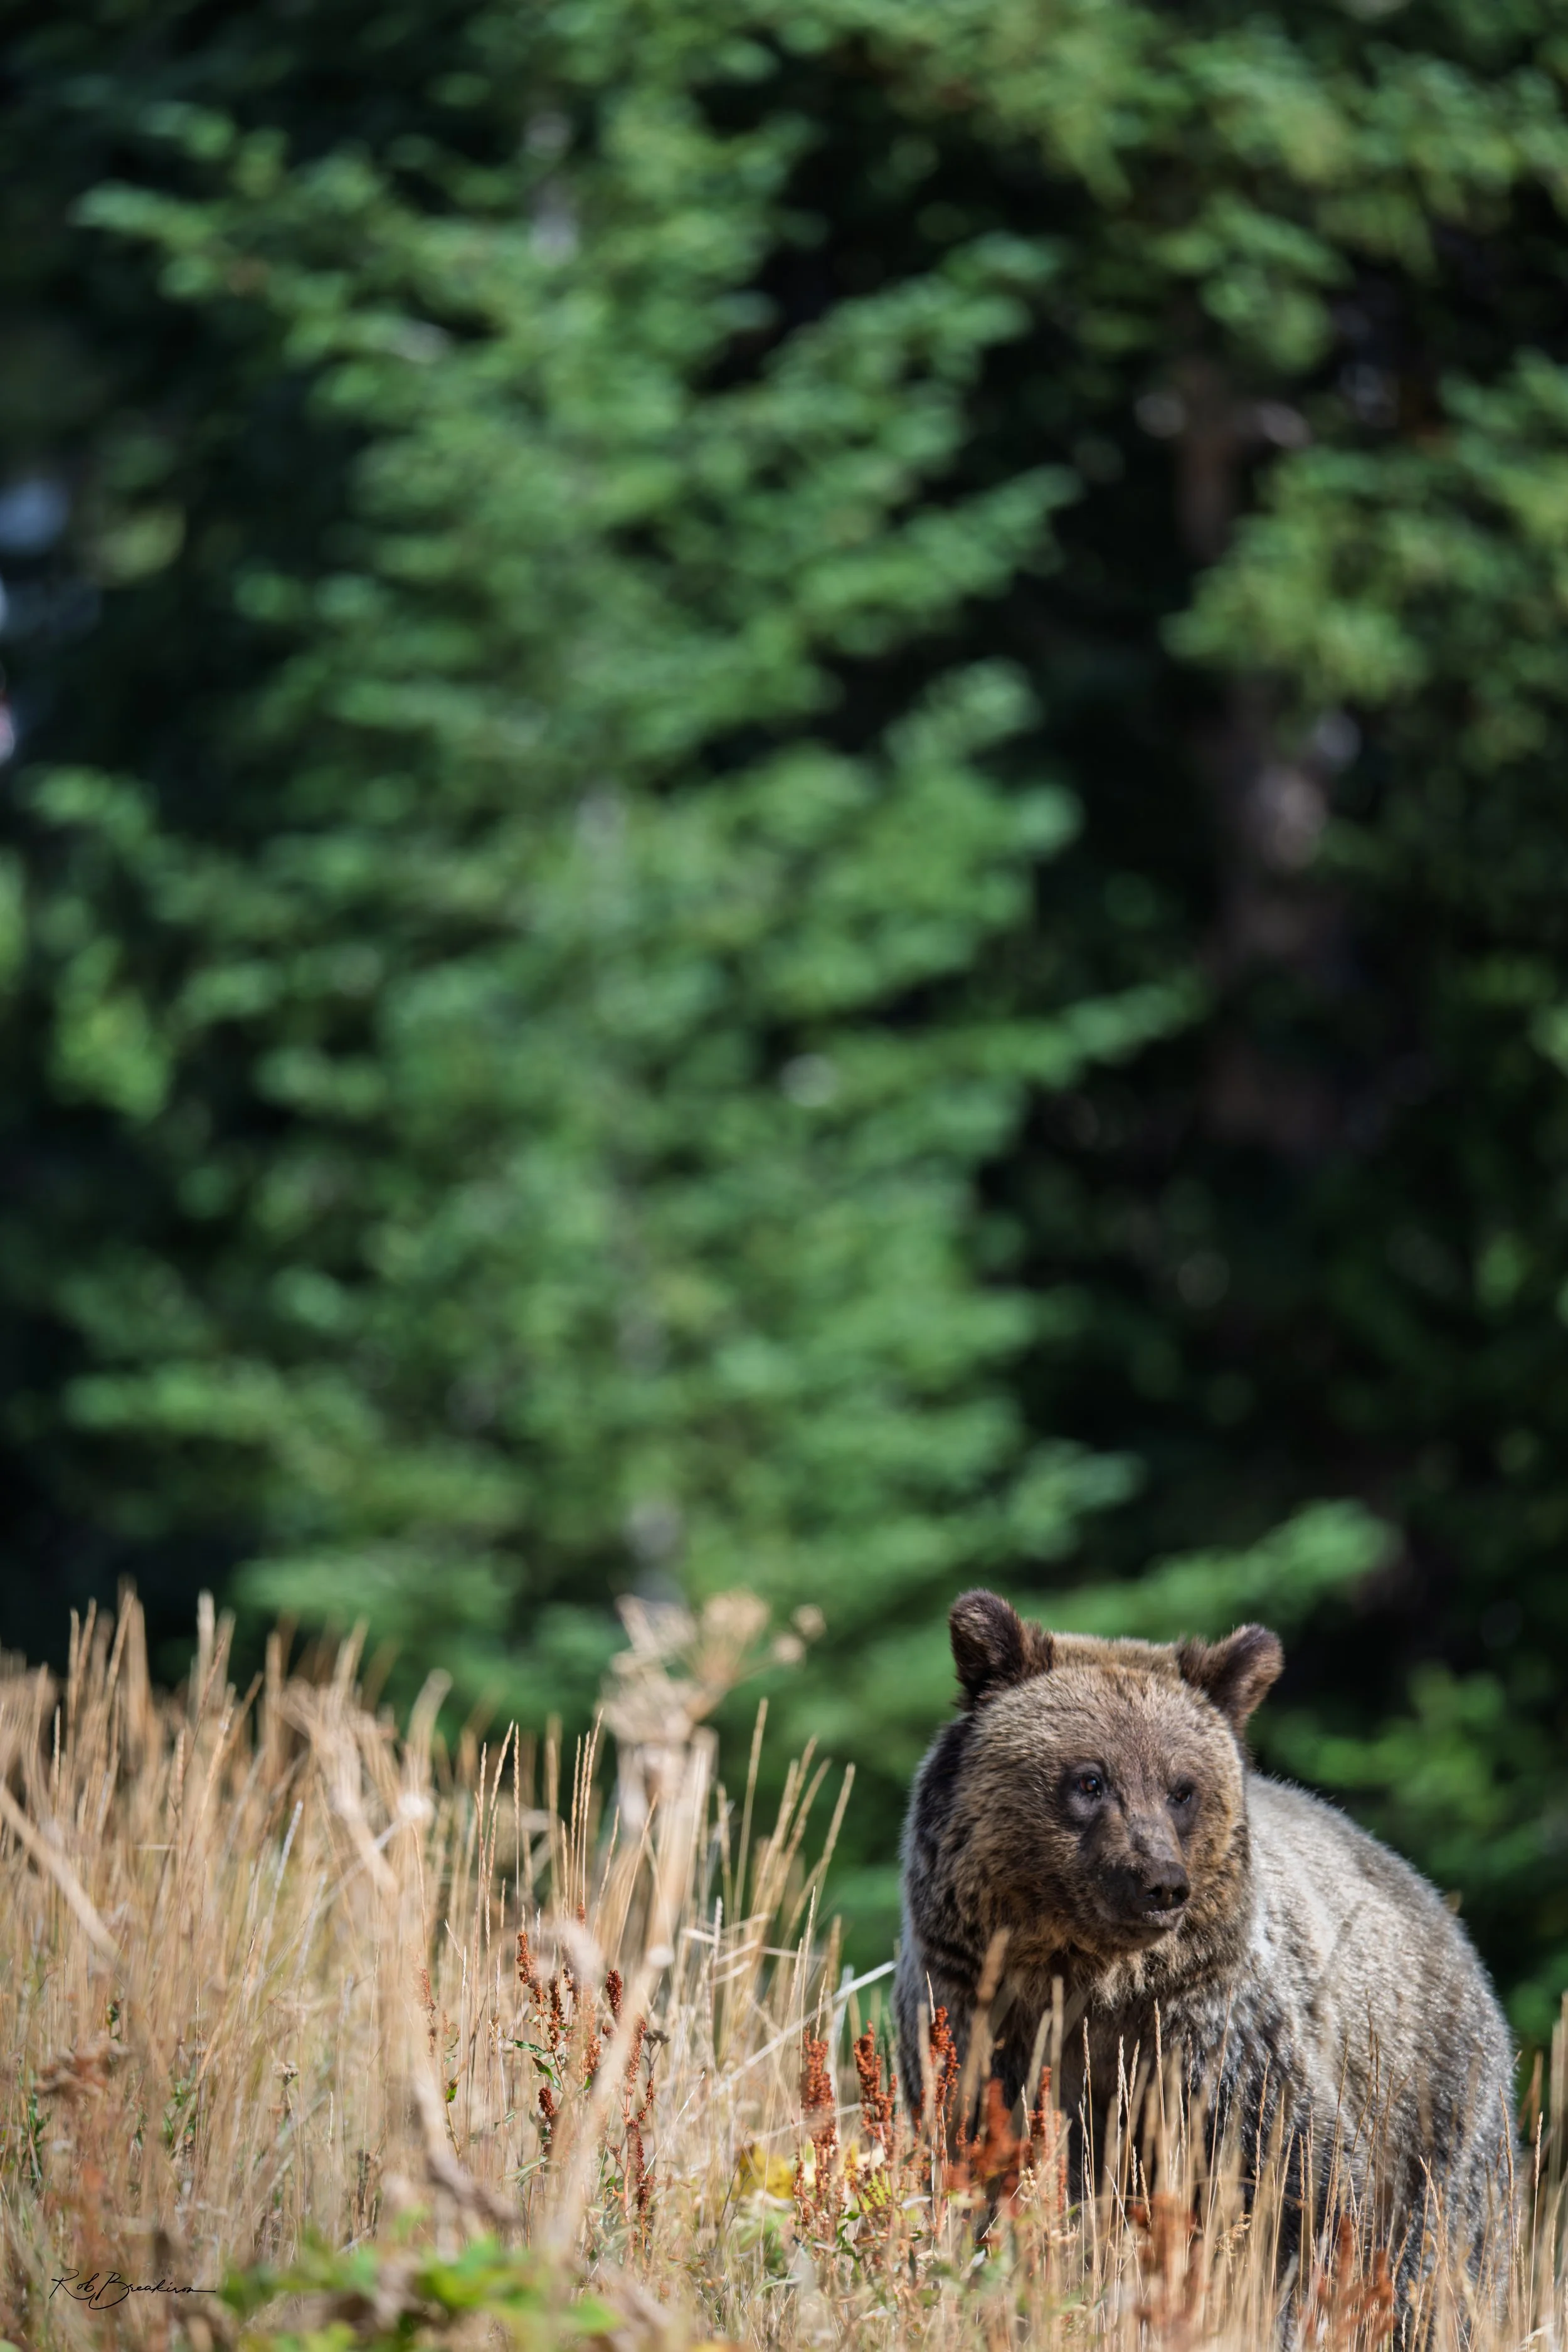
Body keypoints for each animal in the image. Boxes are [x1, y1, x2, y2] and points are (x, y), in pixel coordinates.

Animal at [895, 1590, 1516, 2299]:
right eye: (1089, 1780)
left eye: (1181, 1788)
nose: (1160, 1883)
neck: (1088, 1975)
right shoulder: (980, 2020)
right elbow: (985, 2165)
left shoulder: (1214, 2038)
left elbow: (1302, 2185)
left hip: (1433, 2096)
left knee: (1446, 2246)